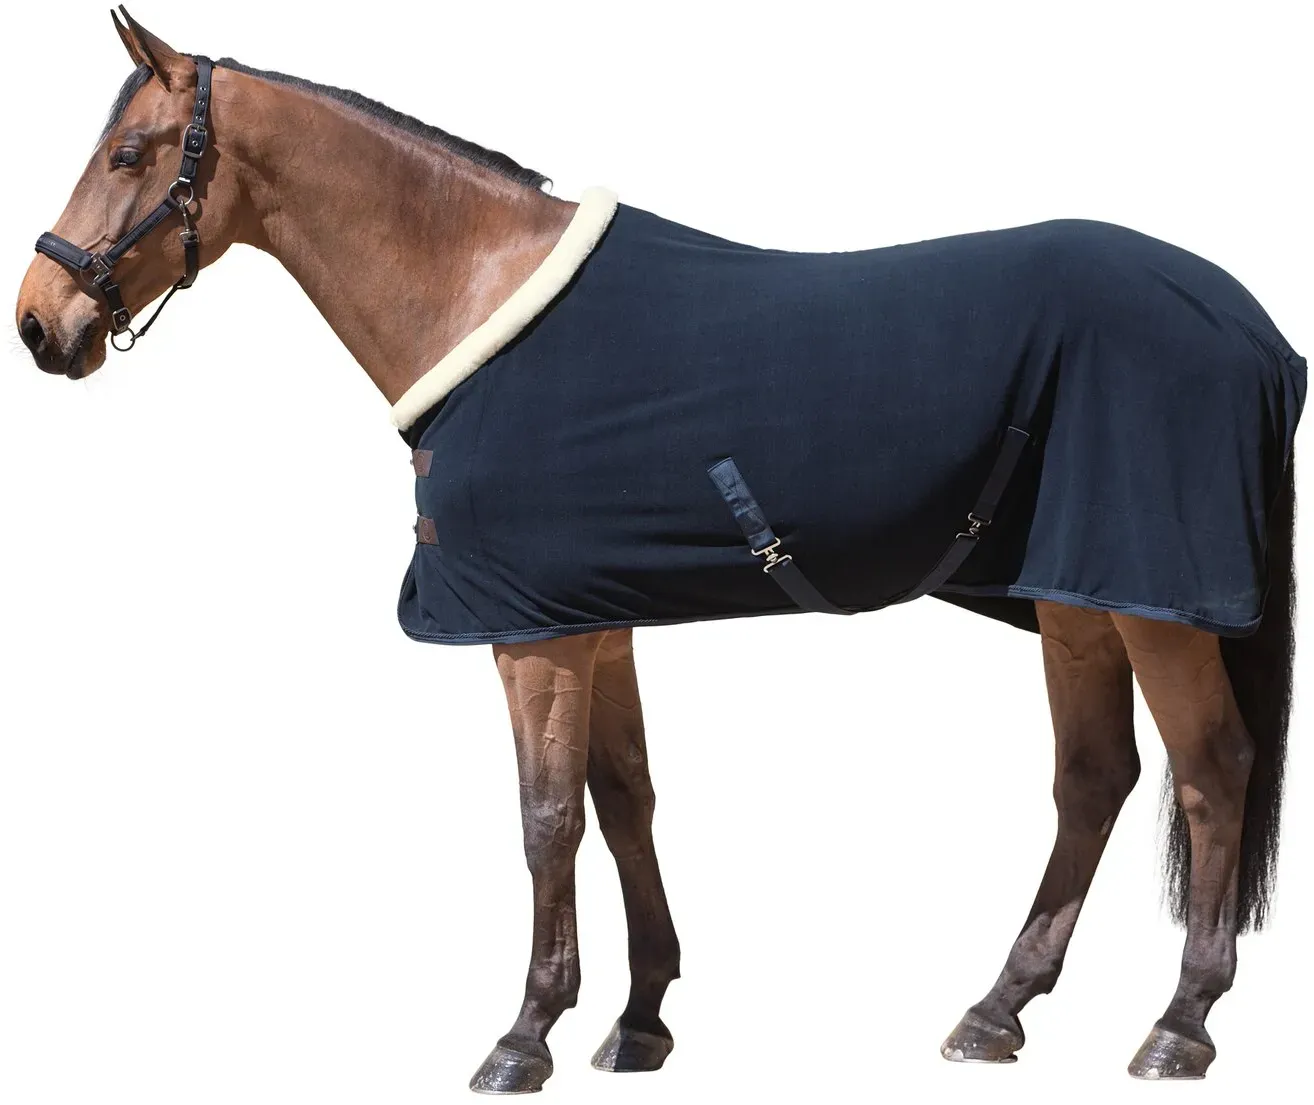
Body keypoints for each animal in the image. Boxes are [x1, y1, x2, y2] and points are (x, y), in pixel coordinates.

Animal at [15, 8, 1305, 1094]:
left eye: (128, 155)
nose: (39, 321)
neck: (477, 290)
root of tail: (1254, 330)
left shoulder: (529, 633)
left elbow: (546, 816)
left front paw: (525, 1035)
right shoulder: (593, 617)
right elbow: (626, 795)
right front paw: (638, 1019)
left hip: (1153, 602)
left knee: (1212, 769)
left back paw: (1180, 1025)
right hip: (1077, 598)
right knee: (1094, 777)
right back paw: (996, 1011)